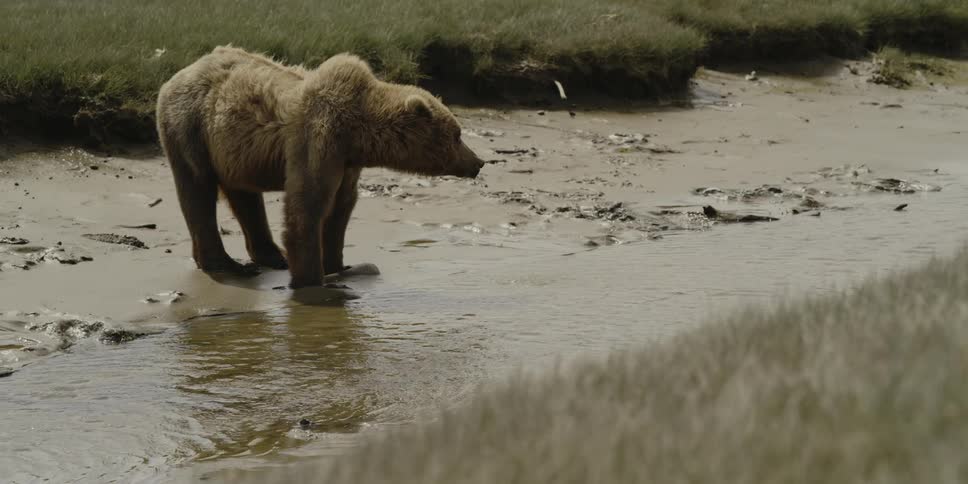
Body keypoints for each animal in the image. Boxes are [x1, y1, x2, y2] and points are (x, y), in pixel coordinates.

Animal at [155, 46, 484, 288]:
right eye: (457, 135)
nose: (478, 162)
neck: (357, 132)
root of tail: (177, 74)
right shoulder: (318, 136)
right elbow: (307, 204)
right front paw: (312, 280)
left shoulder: (347, 162)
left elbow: (341, 207)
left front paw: (337, 264)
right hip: (189, 127)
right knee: (197, 190)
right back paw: (226, 264)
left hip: (232, 150)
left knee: (244, 195)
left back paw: (272, 257)